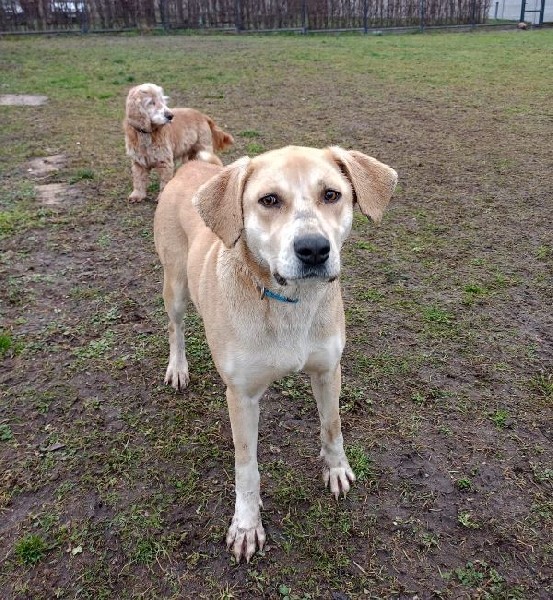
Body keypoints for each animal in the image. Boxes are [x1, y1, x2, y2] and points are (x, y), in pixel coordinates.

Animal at [153, 145, 398, 564]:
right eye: (269, 200)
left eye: (331, 194)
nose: (314, 249)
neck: (290, 303)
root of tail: (193, 167)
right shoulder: (242, 396)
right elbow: (246, 466)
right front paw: (246, 524)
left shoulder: (328, 370)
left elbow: (332, 425)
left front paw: (336, 469)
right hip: (176, 286)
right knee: (175, 328)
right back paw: (178, 367)